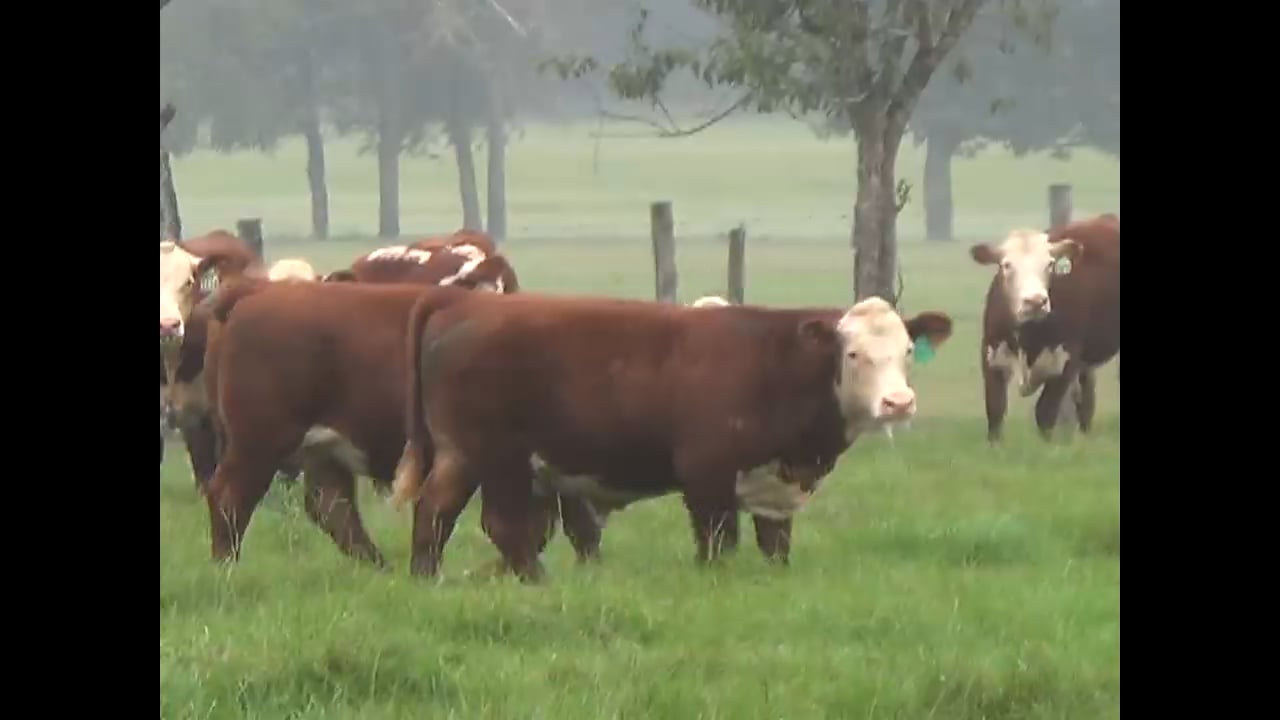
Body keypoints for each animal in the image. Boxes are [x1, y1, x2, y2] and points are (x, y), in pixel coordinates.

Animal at [392, 292, 954, 582]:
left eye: (907, 350)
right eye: (853, 353)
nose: (898, 402)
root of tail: (464, 302)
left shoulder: (773, 487)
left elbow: (774, 546)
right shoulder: (706, 473)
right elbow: (718, 542)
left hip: (460, 455)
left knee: (434, 511)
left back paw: (426, 577)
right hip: (497, 456)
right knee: (503, 524)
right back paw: (538, 581)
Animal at [968, 213, 1120, 442]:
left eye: (1050, 264)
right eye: (1006, 265)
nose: (1035, 301)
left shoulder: (1067, 361)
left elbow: (1045, 413)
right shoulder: (992, 356)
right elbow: (995, 411)